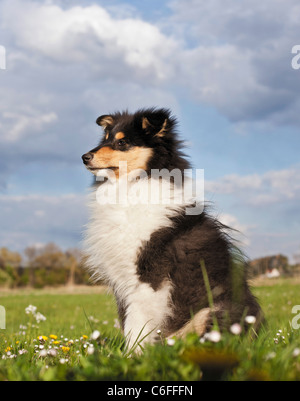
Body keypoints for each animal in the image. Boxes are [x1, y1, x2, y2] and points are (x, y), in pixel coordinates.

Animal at [81, 108, 262, 352]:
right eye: (106, 139)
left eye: (123, 142)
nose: (84, 157)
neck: (133, 185)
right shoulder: (123, 281)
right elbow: (127, 322)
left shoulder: (149, 277)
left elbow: (136, 323)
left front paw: (131, 356)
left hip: (214, 311)